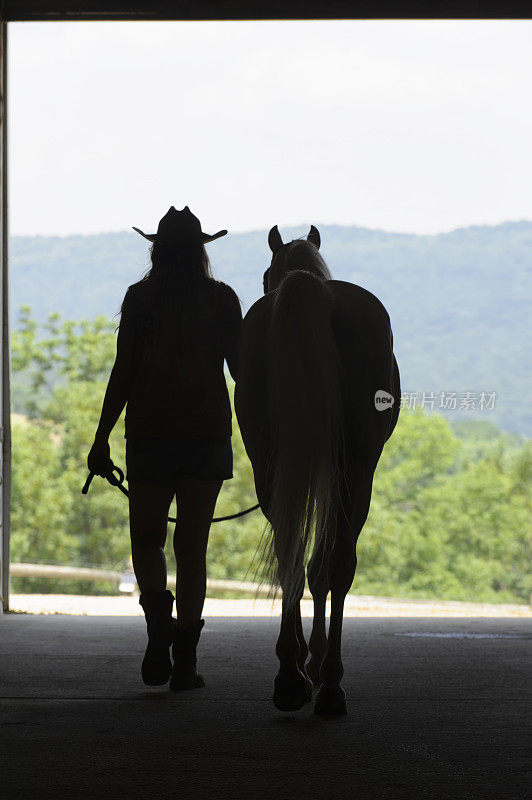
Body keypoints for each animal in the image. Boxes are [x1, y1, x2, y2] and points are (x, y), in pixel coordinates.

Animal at [235, 225, 402, 720]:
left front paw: (304, 662)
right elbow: (322, 568)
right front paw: (316, 661)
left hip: (272, 466)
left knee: (289, 551)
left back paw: (292, 679)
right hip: (357, 472)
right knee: (336, 562)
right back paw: (326, 684)